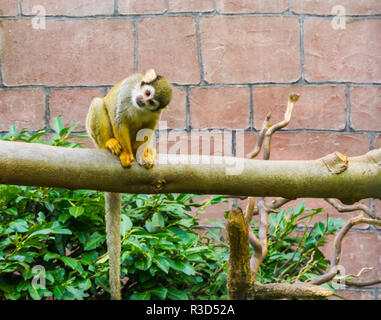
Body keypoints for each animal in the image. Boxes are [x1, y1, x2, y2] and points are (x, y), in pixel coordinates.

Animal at [85, 69, 172, 298]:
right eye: (147, 92)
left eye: (152, 101)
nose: (142, 100)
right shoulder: (126, 94)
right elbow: (120, 120)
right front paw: (126, 154)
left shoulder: (155, 113)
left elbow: (148, 127)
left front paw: (141, 154)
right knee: (98, 104)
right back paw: (111, 145)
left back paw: (144, 151)